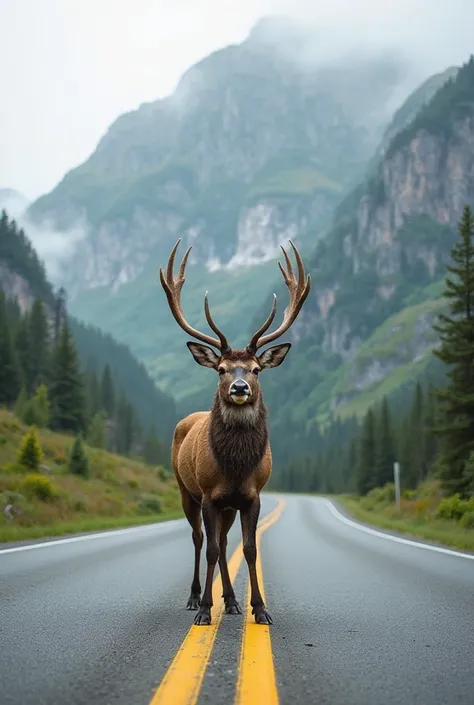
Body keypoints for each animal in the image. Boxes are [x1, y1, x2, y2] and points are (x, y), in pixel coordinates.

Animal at [159, 238, 312, 628]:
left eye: (256, 369)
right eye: (222, 369)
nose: (239, 387)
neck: (236, 465)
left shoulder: (251, 495)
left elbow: (249, 548)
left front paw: (259, 607)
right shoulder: (209, 494)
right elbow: (212, 548)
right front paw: (203, 610)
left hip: (228, 505)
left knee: (226, 542)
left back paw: (230, 601)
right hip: (186, 490)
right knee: (200, 539)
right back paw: (195, 597)